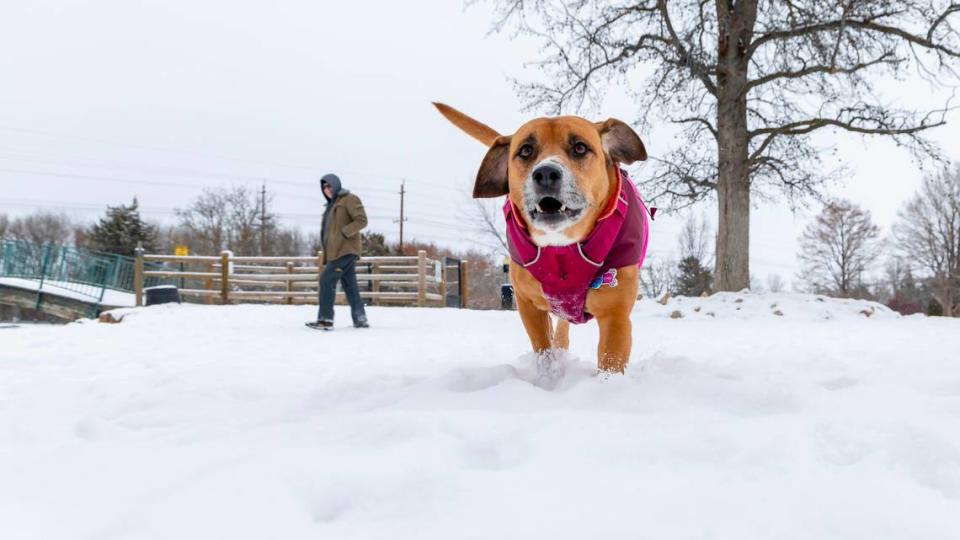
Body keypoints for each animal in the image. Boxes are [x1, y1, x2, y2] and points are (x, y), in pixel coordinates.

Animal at [436, 103, 652, 374]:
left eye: (580, 148)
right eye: (526, 150)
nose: (546, 172)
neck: (562, 248)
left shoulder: (616, 316)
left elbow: (610, 364)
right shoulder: (528, 306)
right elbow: (543, 348)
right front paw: (549, 375)